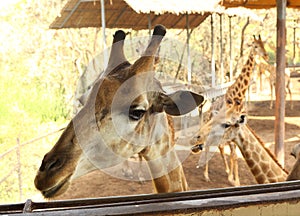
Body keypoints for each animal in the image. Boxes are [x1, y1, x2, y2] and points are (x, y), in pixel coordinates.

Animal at [192, 34, 270, 186]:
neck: (237, 94)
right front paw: (233, 179)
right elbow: (232, 153)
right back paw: (206, 175)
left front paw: (234, 179)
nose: (266, 55)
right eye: (255, 46)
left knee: (220, 147)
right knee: (210, 146)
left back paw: (227, 171)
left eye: (263, 44)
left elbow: (234, 154)